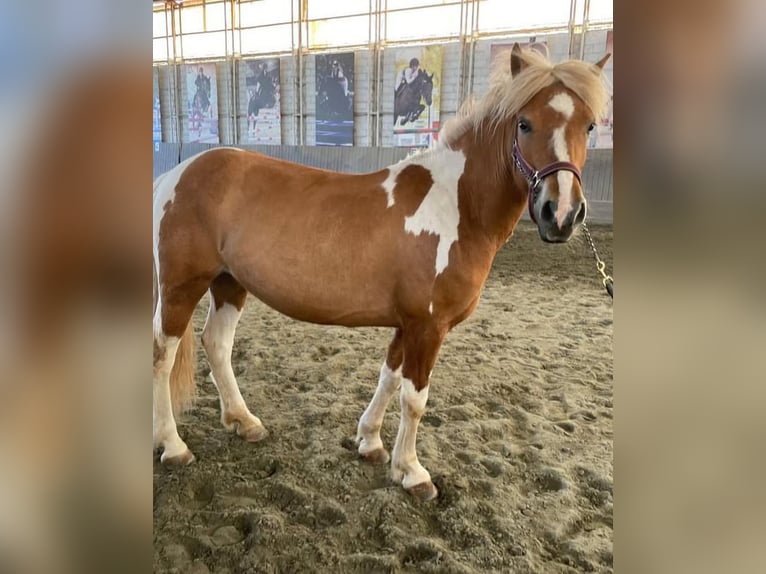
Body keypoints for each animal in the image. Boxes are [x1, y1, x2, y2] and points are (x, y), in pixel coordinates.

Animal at [153, 44, 611, 501]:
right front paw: (411, 470)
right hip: (181, 286)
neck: (456, 205)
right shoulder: (428, 325)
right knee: (163, 355)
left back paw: (244, 421)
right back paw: (174, 446)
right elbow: (415, 398)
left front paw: (371, 442)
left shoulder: (408, 323)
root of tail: (176, 174)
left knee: (217, 344)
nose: (561, 214)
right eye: (524, 123)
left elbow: (389, 378)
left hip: (229, 283)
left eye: (589, 125)